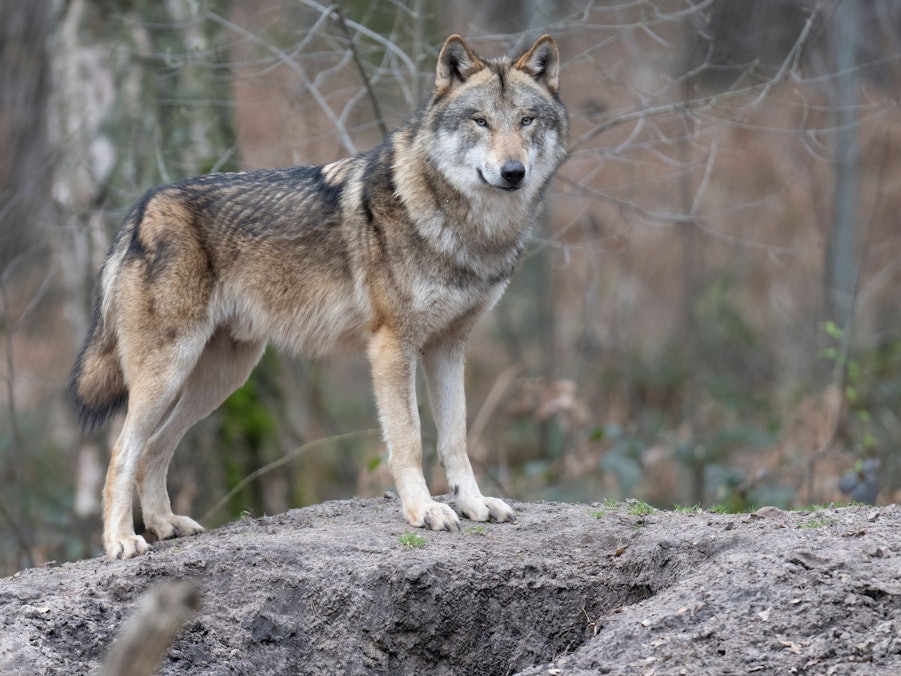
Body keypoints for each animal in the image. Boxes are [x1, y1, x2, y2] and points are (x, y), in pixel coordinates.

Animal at [70, 34, 569, 559]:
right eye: (480, 121)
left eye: (526, 120)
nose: (513, 172)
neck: (466, 229)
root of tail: (141, 210)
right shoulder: (392, 346)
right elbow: (409, 439)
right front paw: (424, 510)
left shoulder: (449, 348)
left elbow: (456, 439)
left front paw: (473, 504)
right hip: (169, 373)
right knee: (122, 451)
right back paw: (121, 540)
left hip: (221, 379)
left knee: (155, 448)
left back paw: (166, 525)